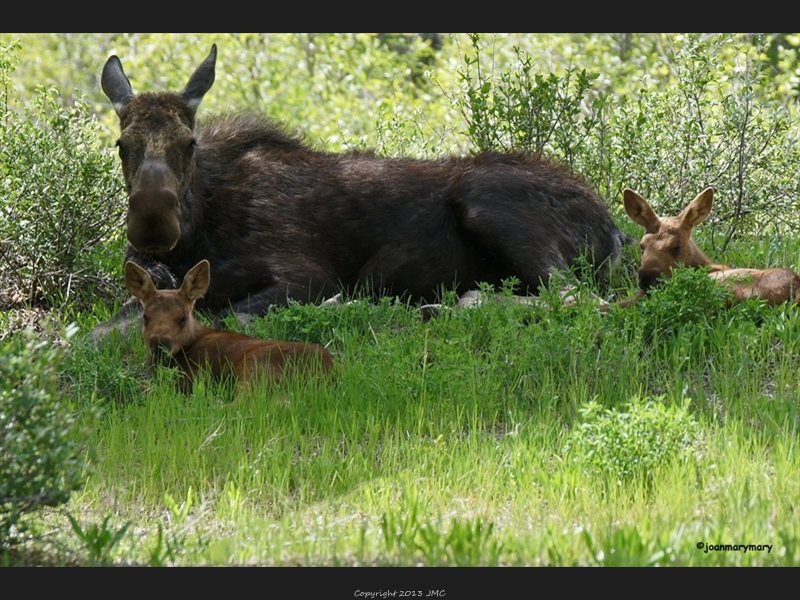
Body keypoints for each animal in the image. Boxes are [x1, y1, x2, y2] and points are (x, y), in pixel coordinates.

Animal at [100, 44, 628, 330]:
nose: (152, 222)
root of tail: (613, 229)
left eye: (189, 143)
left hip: (486, 200)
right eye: (122, 143)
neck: (198, 232)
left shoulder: (306, 273)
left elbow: (235, 314)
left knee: (581, 300)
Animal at [124, 258, 334, 396]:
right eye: (145, 317)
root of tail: (331, 371)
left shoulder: (195, 374)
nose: (159, 345)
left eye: (182, 319)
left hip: (256, 367)